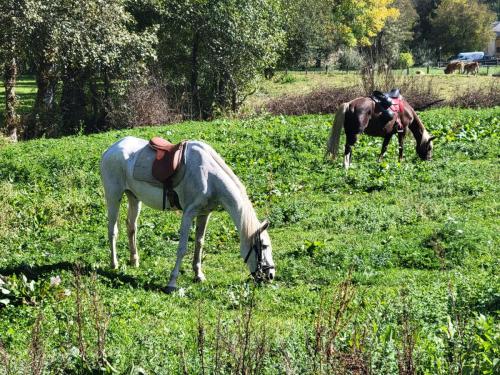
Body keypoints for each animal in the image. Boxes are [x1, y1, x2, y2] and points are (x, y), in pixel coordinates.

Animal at [99, 137, 276, 292]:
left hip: (134, 198)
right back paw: (114, 264)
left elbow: (199, 243)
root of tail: (111, 149)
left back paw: (134, 260)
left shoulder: (204, 214)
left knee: (131, 227)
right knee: (112, 230)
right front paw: (171, 283)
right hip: (114, 196)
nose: (271, 275)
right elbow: (182, 248)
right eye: (264, 246)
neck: (209, 177)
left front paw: (198, 275)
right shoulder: (188, 214)